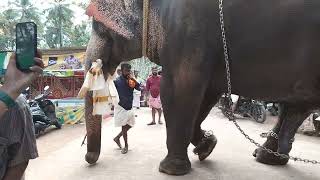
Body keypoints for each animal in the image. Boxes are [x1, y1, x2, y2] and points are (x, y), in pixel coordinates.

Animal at [83, 0, 320, 176]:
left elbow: (180, 89)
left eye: (98, 27)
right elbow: (206, 94)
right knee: (295, 106)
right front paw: (207, 147)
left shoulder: (187, 28)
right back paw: (268, 156)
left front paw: (171, 169)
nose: (89, 159)